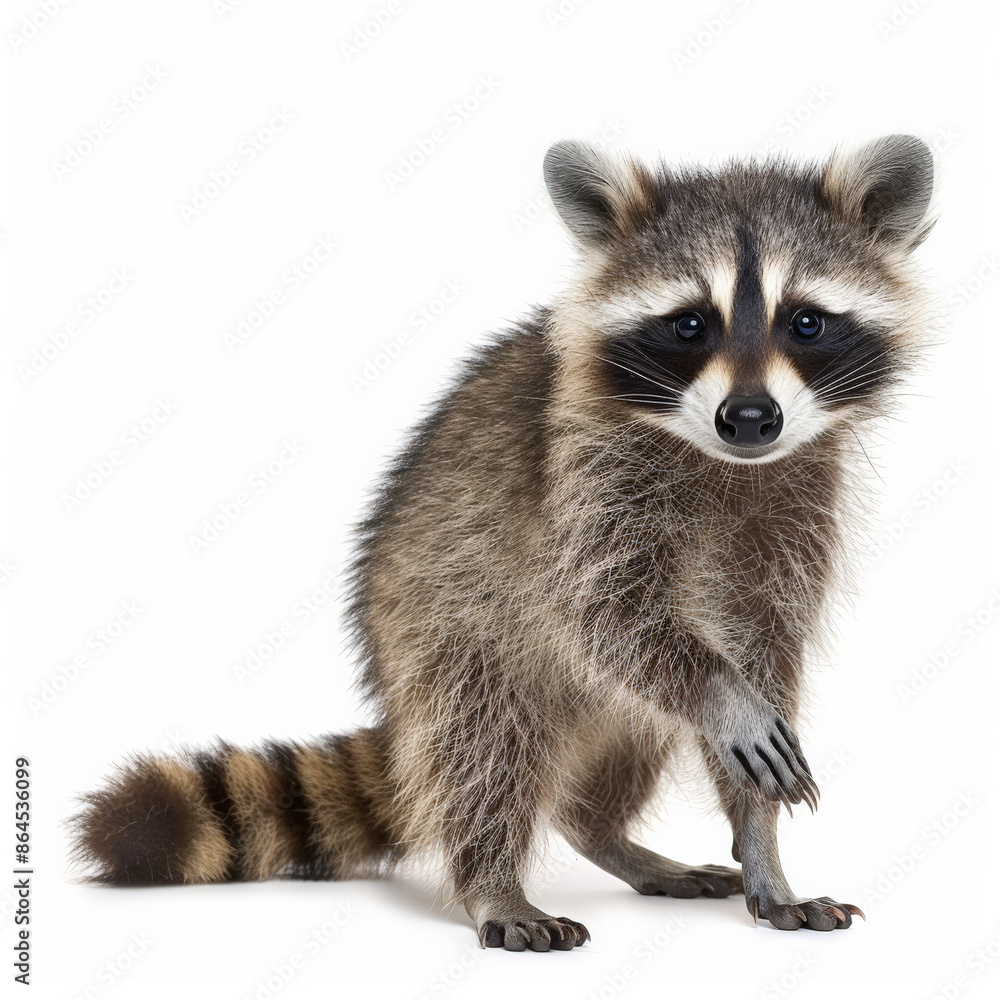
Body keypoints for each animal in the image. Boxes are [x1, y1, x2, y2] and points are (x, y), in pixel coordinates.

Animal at [70, 135, 937, 951]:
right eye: (690, 323)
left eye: (806, 321)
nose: (751, 418)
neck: (723, 460)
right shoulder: (584, 481)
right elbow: (608, 617)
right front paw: (726, 702)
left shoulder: (796, 510)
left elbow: (762, 649)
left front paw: (765, 850)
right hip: (445, 629)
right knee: (484, 745)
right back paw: (493, 880)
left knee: (621, 742)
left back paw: (607, 833)